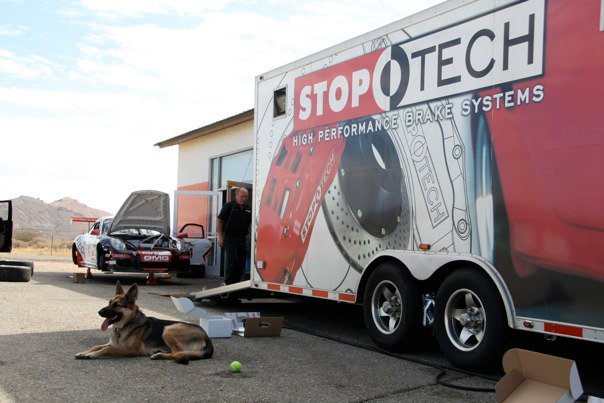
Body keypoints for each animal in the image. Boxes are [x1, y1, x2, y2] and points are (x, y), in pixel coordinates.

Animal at [75, 280, 214, 366]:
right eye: (109, 302)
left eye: (116, 305)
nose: (99, 312)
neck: (125, 325)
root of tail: (206, 336)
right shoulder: (113, 343)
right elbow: (97, 346)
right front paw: (84, 352)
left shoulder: (131, 349)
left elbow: (106, 349)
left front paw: (91, 355)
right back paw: (158, 353)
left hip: (168, 329)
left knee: (178, 352)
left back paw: (158, 355)